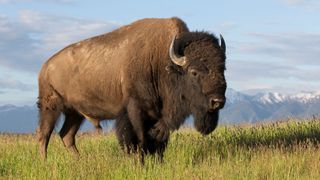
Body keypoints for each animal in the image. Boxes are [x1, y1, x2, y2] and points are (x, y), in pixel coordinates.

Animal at [37, 17, 228, 161]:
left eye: (222, 68)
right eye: (194, 72)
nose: (217, 101)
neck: (162, 61)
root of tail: (46, 66)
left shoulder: (159, 116)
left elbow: (159, 143)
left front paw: (157, 163)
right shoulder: (135, 111)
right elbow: (138, 140)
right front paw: (139, 163)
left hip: (75, 113)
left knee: (66, 135)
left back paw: (79, 160)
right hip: (50, 107)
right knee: (44, 134)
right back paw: (44, 162)